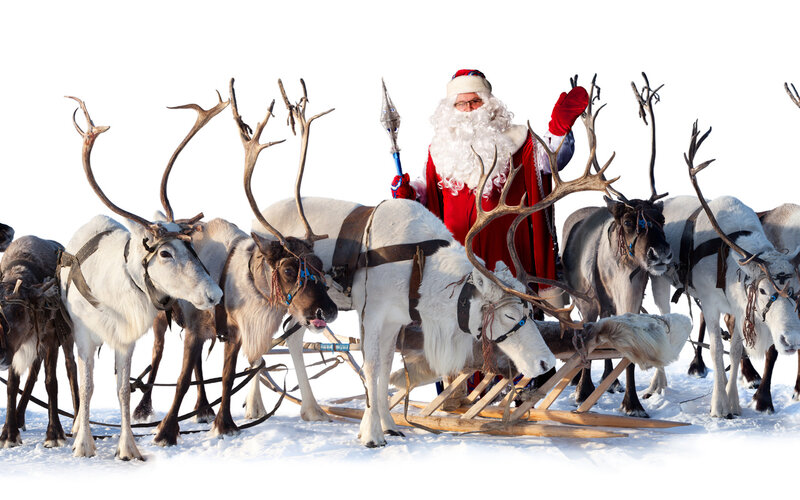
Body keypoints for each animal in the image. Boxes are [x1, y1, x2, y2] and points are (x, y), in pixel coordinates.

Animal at [62, 95, 224, 460]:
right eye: (164, 253)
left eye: (190, 244)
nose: (215, 293)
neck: (112, 294)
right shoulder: (83, 334)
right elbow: (87, 385)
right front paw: (84, 443)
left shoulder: (126, 340)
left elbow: (123, 389)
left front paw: (128, 448)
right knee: (81, 379)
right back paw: (78, 426)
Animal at [144, 79, 339, 446]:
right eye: (289, 269)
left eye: (321, 266)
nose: (329, 310)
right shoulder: (195, 326)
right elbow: (180, 379)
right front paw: (166, 431)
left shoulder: (232, 333)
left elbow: (228, 376)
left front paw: (225, 424)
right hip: (163, 317)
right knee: (159, 354)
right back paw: (144, 407)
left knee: (199, 367)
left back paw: (203, 409)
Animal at [561, 74, 673, 417]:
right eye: (627, 221)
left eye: (661, 218)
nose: (661, 253)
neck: (623, 278)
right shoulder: (588, 303)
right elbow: (585, 342)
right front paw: (583, 392)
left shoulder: (632, 302)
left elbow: (627, 355)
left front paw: (632, 403)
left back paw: (610, 383)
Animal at [650, 122, 800, 418]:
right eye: (763, 290)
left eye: (796, 290)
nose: (790, 339)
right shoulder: (711, 302)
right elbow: (718, 349)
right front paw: (719, 406)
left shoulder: (739, 307)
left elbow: (736, 348)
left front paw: (734, 403)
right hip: (658, 281)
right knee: (661, 319)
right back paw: (658, 384)